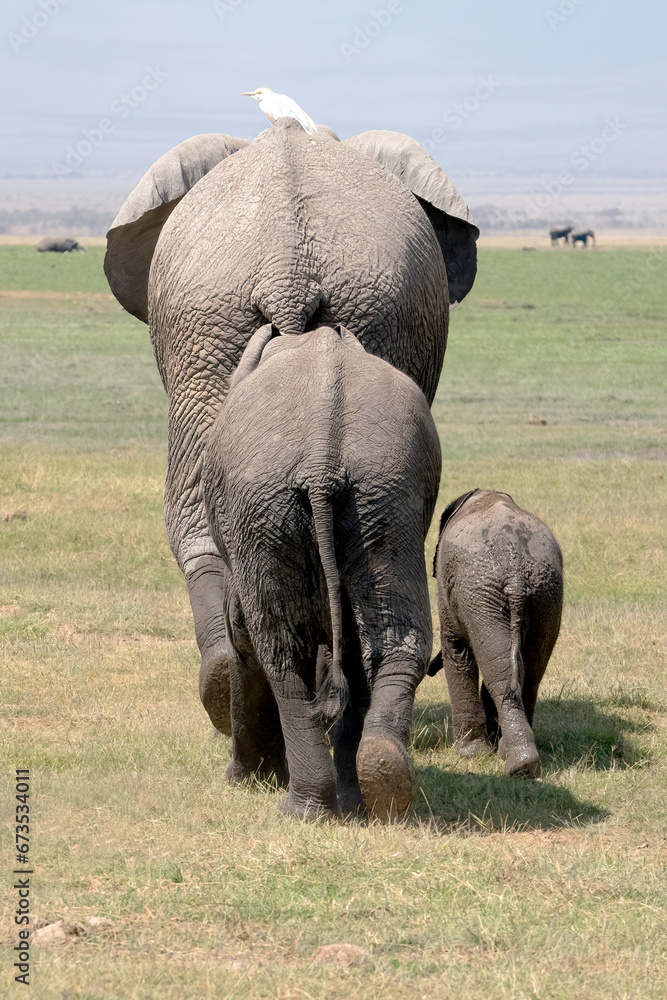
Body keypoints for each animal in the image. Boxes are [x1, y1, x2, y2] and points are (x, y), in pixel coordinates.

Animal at [202, 323, 442, 820]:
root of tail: (321, 460)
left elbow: (242, 633)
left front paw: (243, 780)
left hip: (266, 509)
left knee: (279, 652)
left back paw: (303, 810)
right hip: (383, 497)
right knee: (393, 637)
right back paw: (378, 784)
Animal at [429, 489, 563, 777]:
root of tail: (516, 576)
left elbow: (456, 650)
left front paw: (470, 754)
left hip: (483, 593)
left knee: (500, 668)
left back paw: (513, 762)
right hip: (545, 593)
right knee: (526, 669)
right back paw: (521, 761)